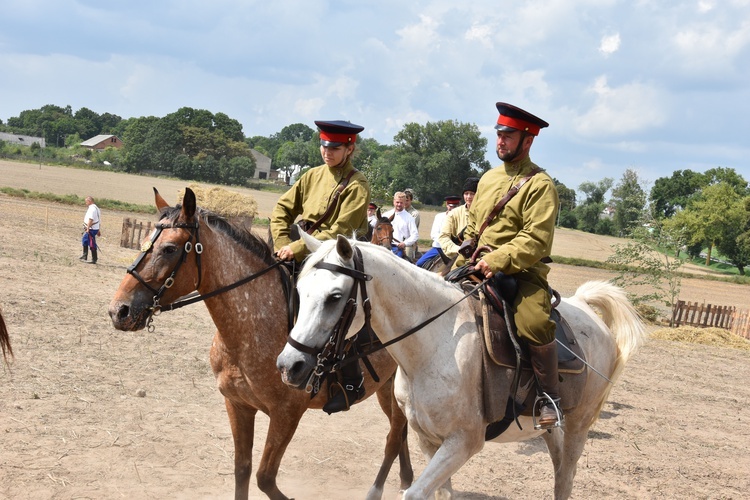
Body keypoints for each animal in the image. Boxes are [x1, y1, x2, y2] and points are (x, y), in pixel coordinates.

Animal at [109, 188, 414, 500]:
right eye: (144, 243)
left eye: (169, 249)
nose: (119, 310)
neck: (250, 331)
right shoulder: (238, 405)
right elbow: (242, 470)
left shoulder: (286, 415)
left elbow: (265, 478)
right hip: (387, 390)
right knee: (399, 434)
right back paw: (406, 478)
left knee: (393, 438)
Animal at [276, 235, 648, 500]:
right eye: (299, 290)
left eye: (335, 297)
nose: (289, 365)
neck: (433, 346)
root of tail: (584, 306)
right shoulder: (428, 440)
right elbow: (440, 492)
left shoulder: (463, 443)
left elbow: (415, 493)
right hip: (552, 431)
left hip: (577, 428)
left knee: (565, 481)